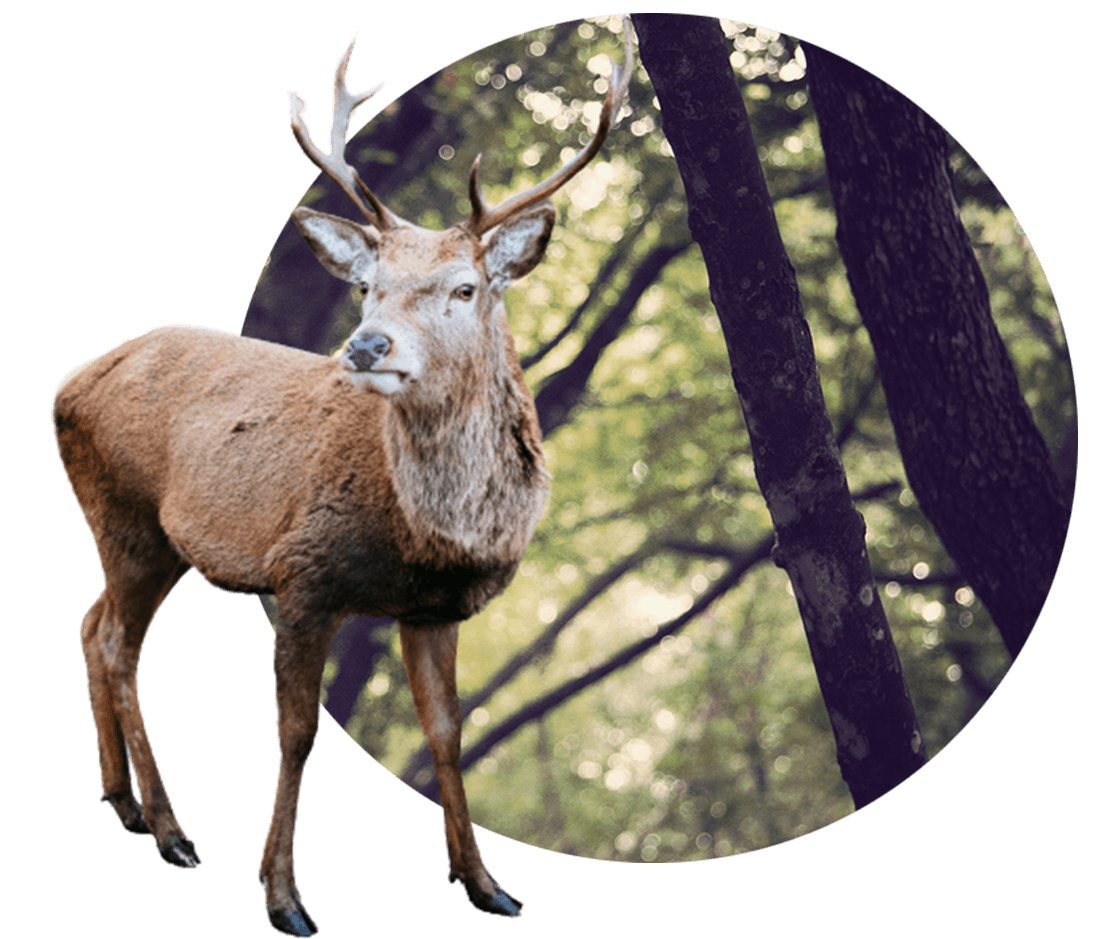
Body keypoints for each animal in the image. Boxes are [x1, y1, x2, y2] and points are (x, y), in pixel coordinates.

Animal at [52, 26, 631, 938]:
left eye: (465, 287)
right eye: (368, 286)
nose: (365, 345)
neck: (426, 533)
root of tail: (68, 382)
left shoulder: (433, 609)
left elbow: (446, 732)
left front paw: (488, 885)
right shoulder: (304, 575)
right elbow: (296, 733)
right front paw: (284, 897)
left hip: (152, 538)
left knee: (90, 621)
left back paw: (124, 802)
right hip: (123, 511)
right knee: (117, 640)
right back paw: (173, 831)